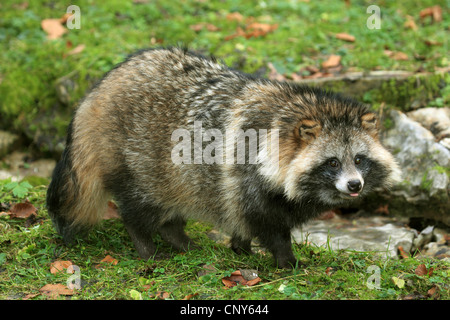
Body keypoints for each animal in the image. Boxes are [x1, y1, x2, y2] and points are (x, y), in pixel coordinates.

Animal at [47, 47, 400, 268]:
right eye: (333, 163)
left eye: (360, 160)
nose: (354, 185)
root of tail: (98, 90)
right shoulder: (245, 174)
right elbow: (266, 223)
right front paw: (286, 261)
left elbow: (241, 218)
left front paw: (241, 248)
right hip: (135, 159)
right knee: (138, 207)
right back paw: (145, 242)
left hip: (174, 176)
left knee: (172, 205)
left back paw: (178, 238)